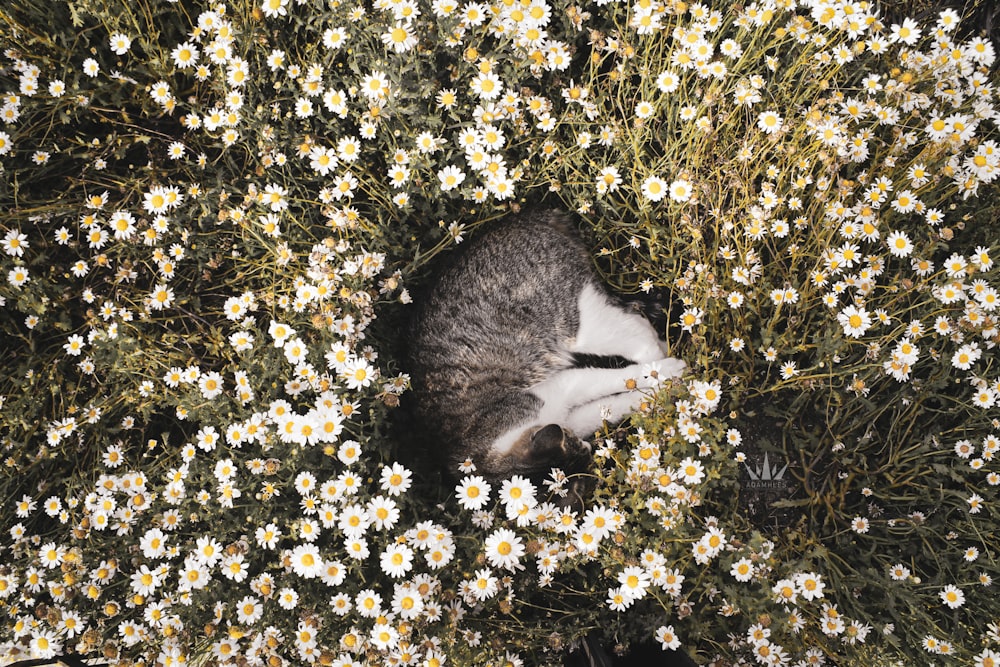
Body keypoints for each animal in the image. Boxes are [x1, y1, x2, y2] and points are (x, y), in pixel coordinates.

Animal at [408, 213, 688, 486]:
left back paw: (659, 364)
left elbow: (610, 380)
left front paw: (661, 382)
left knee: (639, 333)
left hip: (571, 320)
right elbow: (609, 408)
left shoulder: (558, 387)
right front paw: (648, 398)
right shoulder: (568, 417)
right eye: (578, 445)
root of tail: (529, 217)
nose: (588, 447)